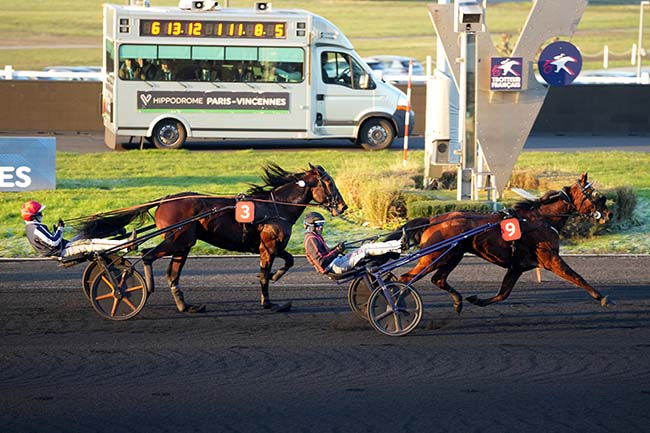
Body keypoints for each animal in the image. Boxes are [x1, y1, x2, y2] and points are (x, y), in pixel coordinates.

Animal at [78, 164, 346, 312]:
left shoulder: (274, 246)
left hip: (183, 245)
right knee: (146, 255)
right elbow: (264, 275)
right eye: (330, 183)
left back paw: (186, 306)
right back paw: (132, 287)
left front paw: (275, 276)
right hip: (180, 239)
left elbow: (287, 262)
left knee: (172, 274)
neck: (274, 207)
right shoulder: (268, 246)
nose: (342, 206)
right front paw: (270, 302)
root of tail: (165, 200)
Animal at [392, 172, 612, 314]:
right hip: (434, 257)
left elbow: (503, 294)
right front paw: (602, 297)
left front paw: (477, 300)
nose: (609, 214)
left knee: (438, 279)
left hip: (453, 255)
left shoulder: (517, 266)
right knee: (404, 278)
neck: (542, 219)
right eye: (595, 195)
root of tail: (432, 220)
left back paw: (457, 301)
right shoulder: (550, 259)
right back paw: (395, 304)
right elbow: (576, 276)